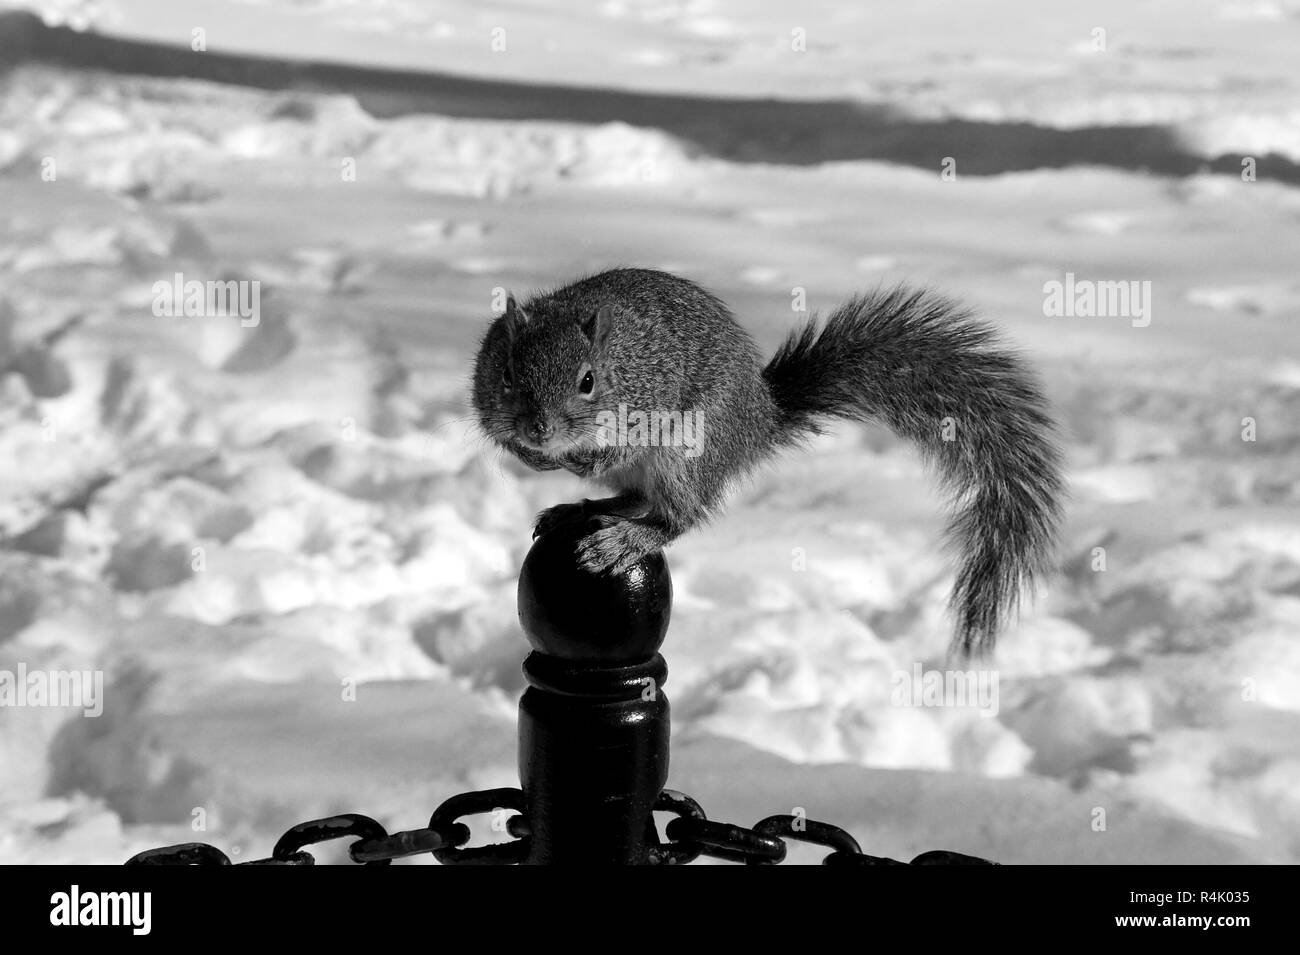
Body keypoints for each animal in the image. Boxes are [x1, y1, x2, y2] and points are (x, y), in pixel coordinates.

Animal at [472, 268, 1063, 654]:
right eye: (506, 373)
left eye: (588, 381)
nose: (538, 430)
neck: (622, 358)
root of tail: (758, 421)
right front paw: (528, 455)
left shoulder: (655, 405)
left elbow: (627, 449)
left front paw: (588, 459)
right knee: (635, 497)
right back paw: (577, 511)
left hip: (691, 454)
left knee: (676, 515)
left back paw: (624, 538)